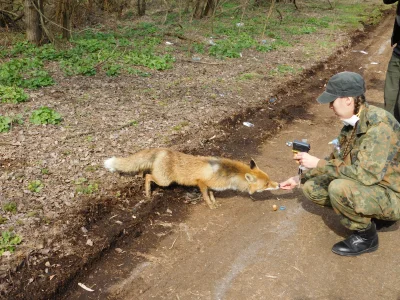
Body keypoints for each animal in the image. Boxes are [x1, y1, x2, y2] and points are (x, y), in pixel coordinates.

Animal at [104, 148, 278, 209]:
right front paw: (210, 205)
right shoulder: (201, 183)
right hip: (164, 181)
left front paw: (214, 202)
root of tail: (163, 150)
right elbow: (206, 196)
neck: (229, 174)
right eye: (266, 184)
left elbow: (212, 194)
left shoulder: (211, 185)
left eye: (269, 180)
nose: (277, 185)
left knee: (144, 171)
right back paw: (147, 194)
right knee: (148, 176)